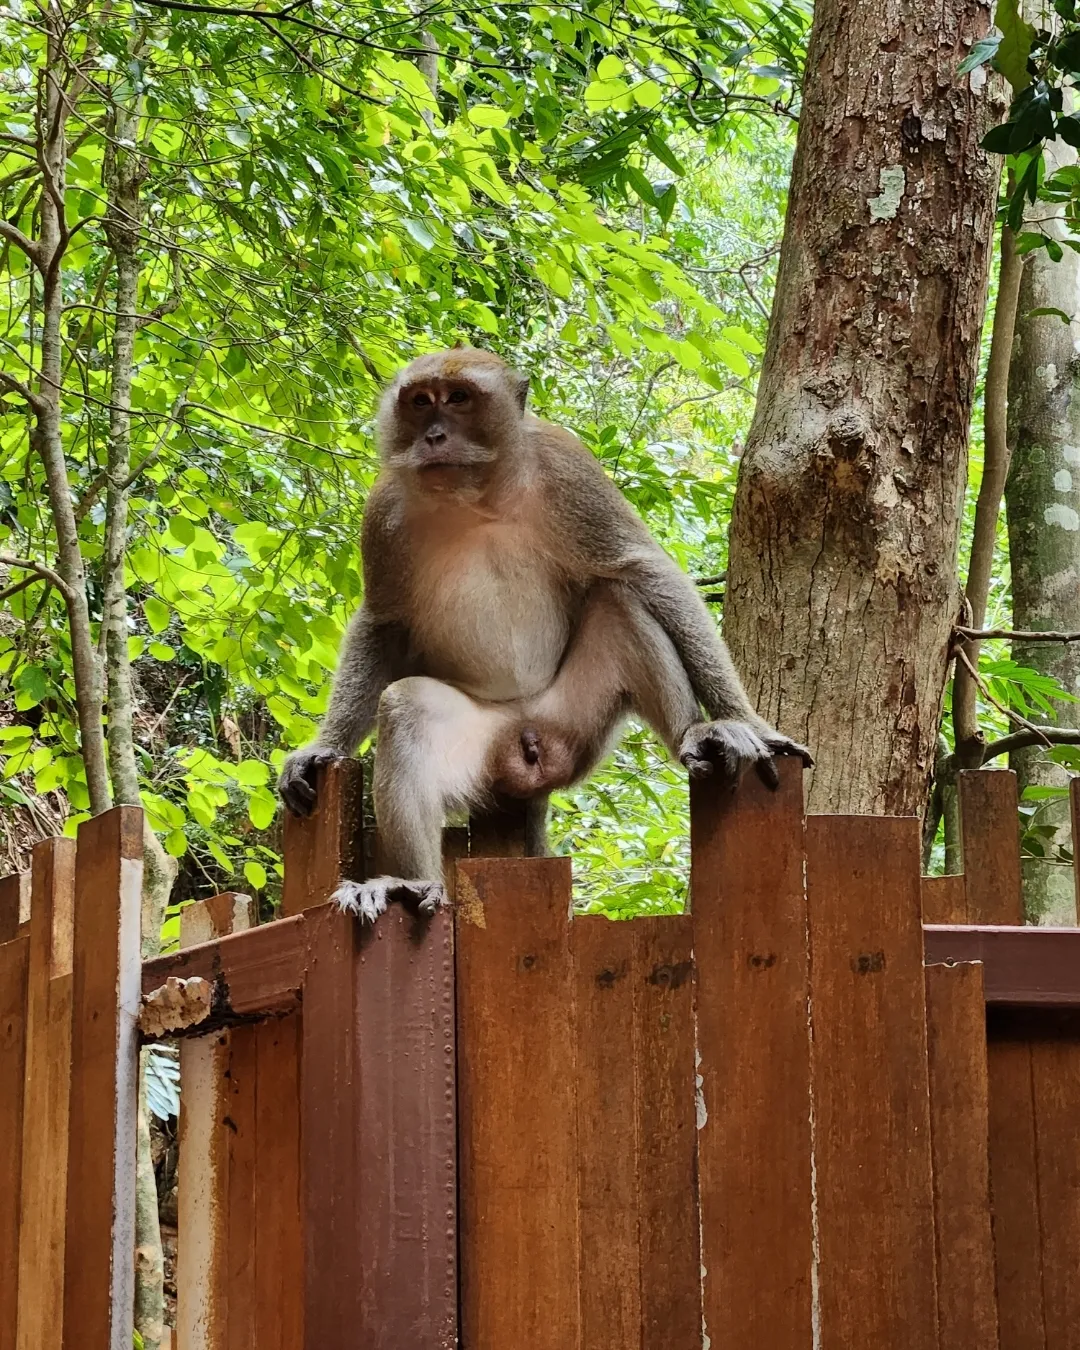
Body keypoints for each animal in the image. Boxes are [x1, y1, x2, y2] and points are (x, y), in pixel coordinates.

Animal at [278, 348, 811, 922]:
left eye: (459, 398)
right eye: (420, 402)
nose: (434, 436)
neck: (475, 500)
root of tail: (526, 738)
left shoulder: (567, 466)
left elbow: (642, 569)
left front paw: (747, 721)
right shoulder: (384, 510)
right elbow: (382, 621)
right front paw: (325, 747)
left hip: (575, 726)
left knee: (620, 604)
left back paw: (698, 735)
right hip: (484, 757)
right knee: (407, 707)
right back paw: (412, 883)